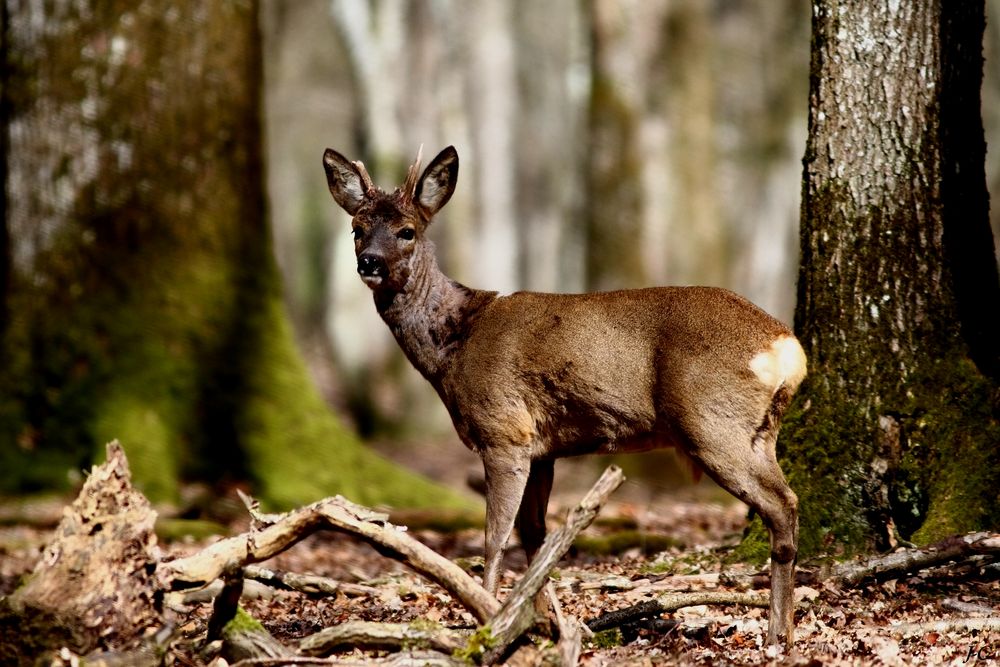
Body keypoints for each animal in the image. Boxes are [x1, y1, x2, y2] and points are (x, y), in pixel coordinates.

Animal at [324, 146, 808, 648]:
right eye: (357, 228)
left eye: (408, 231)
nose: (370, 263)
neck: (454, 348)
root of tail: (787, 346)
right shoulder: (542, 450)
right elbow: (536, 537)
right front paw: (545, 621)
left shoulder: (504, 431)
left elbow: (495, 538)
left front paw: (488, 620)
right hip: (757, 431)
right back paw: (784, 630)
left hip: (712, 423)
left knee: (783, 504)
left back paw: (777, 635)